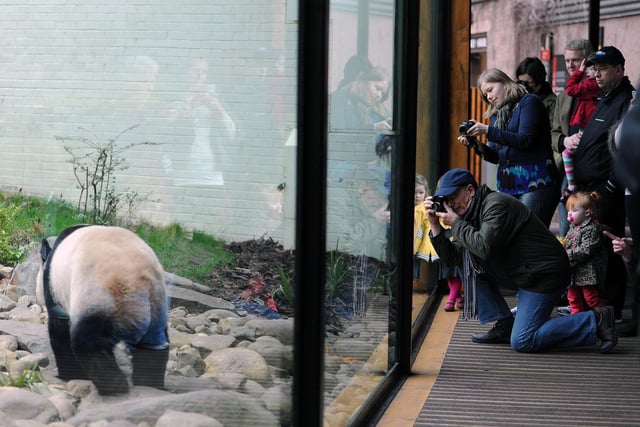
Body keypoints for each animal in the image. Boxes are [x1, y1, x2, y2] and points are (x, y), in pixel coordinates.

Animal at [36, 226, 169, 396]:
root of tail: (137, 282)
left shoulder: (56, 291)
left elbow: (59, 330)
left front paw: (69, 375)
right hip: (156, 303)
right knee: (154, 344)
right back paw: (148, 383)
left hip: (97, 294)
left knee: (88, 341)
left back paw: (114, 384)